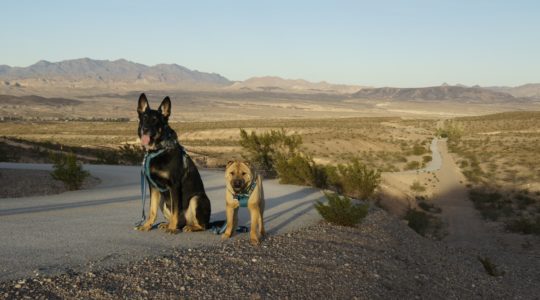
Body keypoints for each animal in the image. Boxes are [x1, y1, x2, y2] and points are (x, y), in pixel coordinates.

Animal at [135, 92, 211, 233]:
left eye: (155, 120)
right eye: (144, 118)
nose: (145, 129)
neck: (158, 149)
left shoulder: (174, 186)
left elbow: (175, 209)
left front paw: (172, 229)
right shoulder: (153, 187)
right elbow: (151, 210)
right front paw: (147, 225)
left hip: (196, 199)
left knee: (202, 225)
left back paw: (188, 227)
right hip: (162, 201)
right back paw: (169, 224)